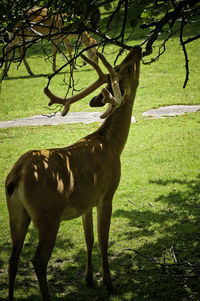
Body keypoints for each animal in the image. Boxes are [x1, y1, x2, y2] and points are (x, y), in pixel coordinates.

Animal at [5, 45, 141, 300]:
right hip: (47, 215)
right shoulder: (106, 194)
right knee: (38, 261)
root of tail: (15, 176)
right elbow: (103, 240)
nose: (137, 49)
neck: (111, 145)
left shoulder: (86, 202)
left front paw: (89, 279)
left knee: (12, 260)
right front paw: (109, 284)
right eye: (126, 68)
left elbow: (89, 239)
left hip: (16, 214)